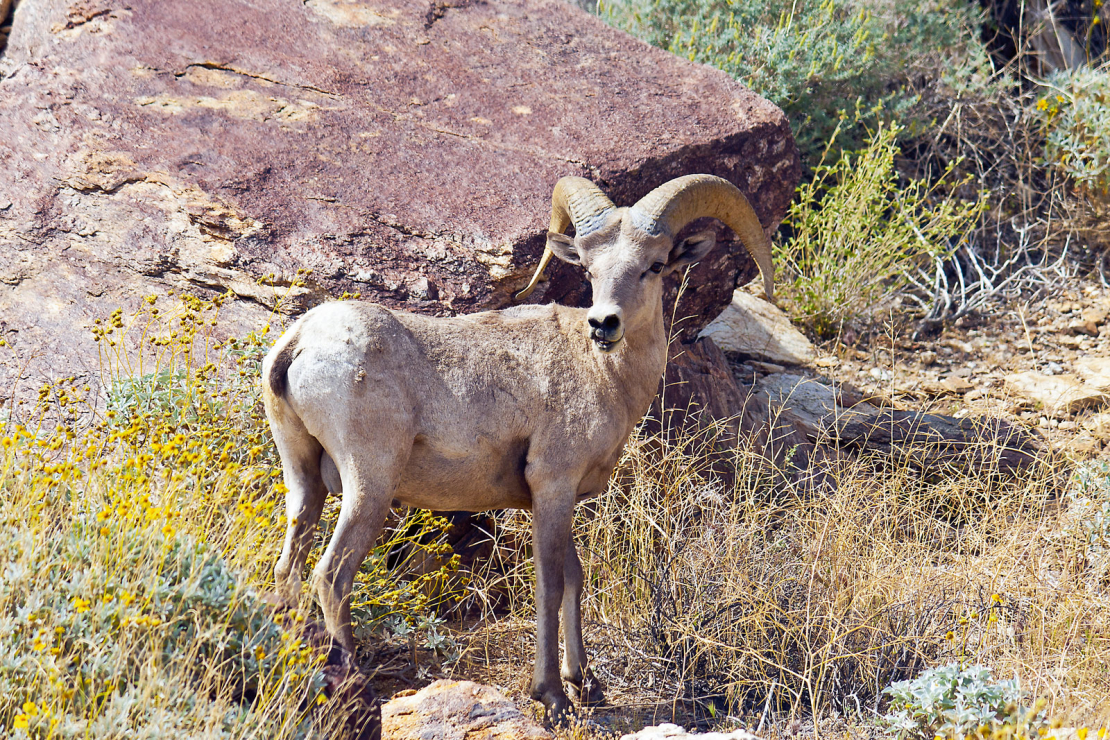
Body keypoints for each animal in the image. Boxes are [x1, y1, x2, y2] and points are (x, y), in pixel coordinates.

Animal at [264, 171, 777, 718]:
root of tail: (298, 344)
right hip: (370, 485)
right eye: (590, 269)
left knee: (289, 570)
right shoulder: (551, 485)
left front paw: (585, 683)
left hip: (305, 483)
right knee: (331, 576)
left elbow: (574, 575)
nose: (604, 324)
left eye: (654, 266)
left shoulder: (555, 498)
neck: (604, 376)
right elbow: (550, 583)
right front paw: (552, 695)